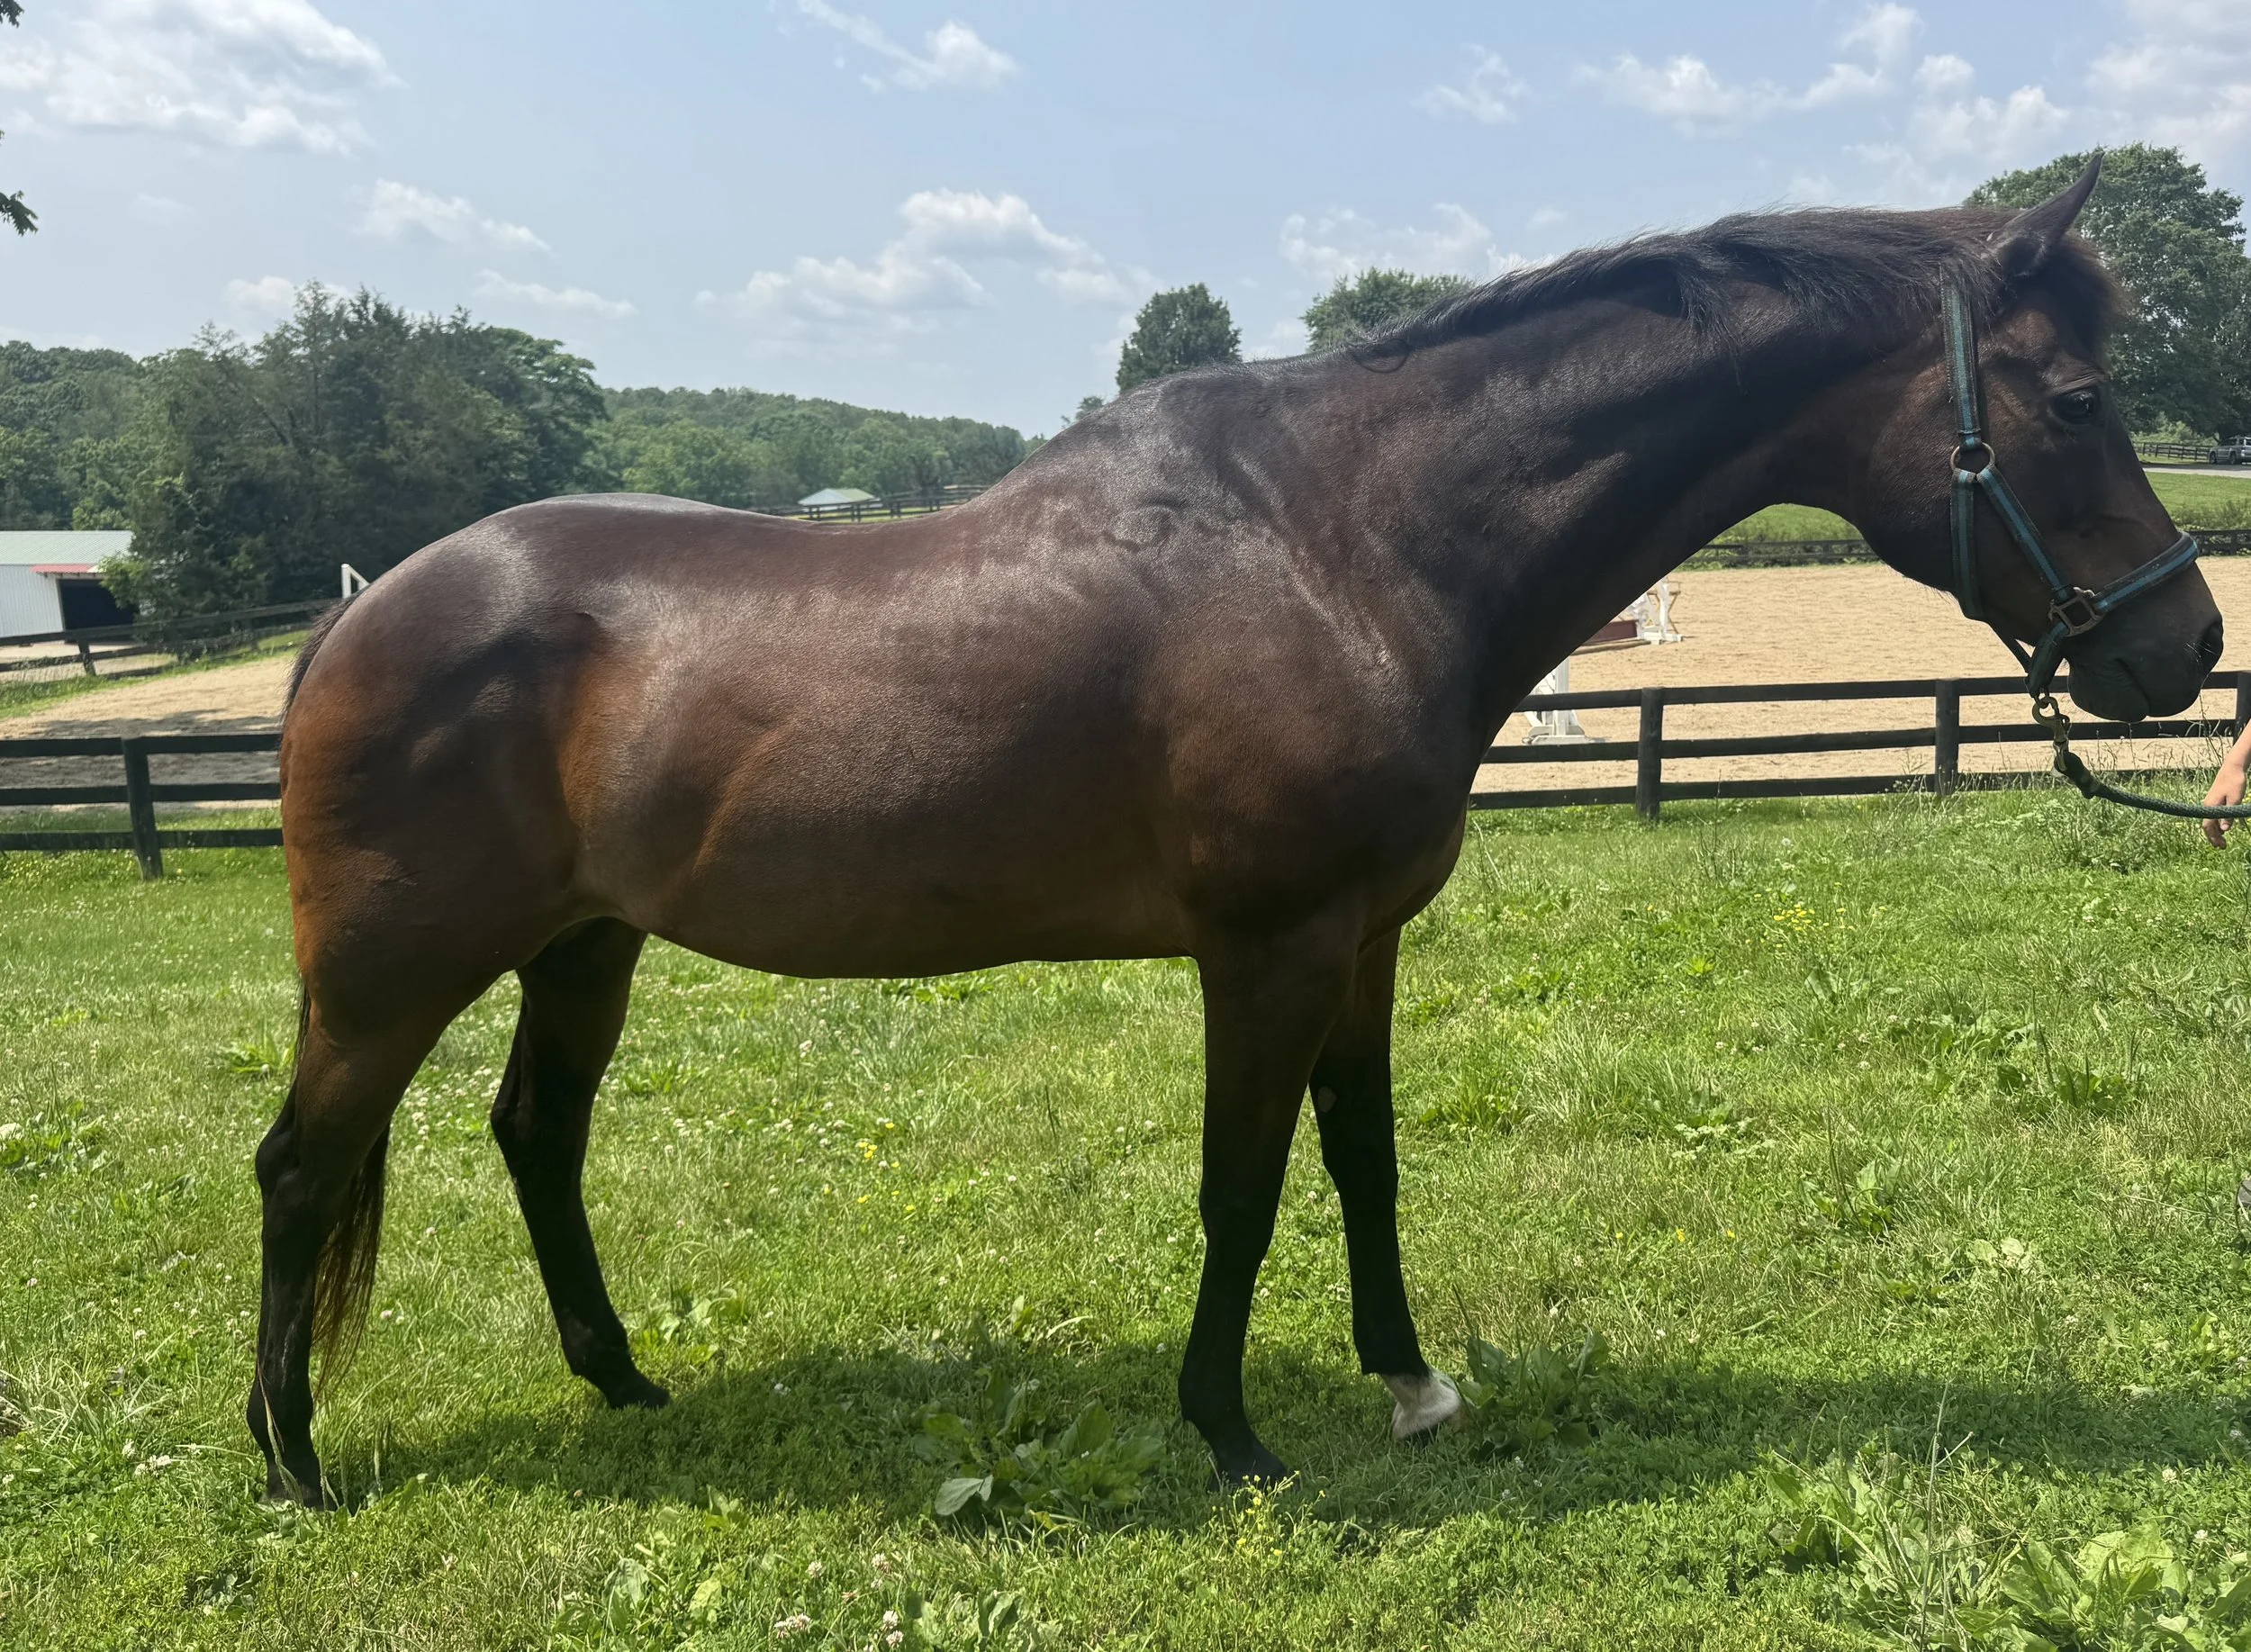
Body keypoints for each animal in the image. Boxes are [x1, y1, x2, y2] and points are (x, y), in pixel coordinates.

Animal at [254, 160, 2221, 1501]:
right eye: (2072, 398)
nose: (2183, 647)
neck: (1338, 543)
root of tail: (354, 619)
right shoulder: (1264, 947)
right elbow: (1243, 1180)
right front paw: (1230, 1430)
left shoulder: (1362, 939)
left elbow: (1364, 1159)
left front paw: (1411, 1383)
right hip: (390, 970)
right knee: (299, 1166)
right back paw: (292, 1457)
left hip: (584, 943)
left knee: (536, 1134)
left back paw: (620, 1383)